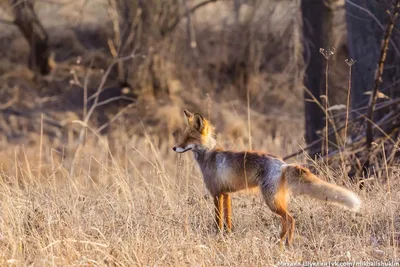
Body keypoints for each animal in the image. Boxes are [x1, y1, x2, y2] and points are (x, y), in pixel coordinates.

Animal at [173, 109, 362, 247]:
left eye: (188, 138)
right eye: (183, 136)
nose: (174, 148)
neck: (209, 156)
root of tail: (283, 164)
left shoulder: (216, 194)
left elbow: (218, 220)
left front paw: (217, 237)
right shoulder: (226, 194)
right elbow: (228, 221)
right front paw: (227, 237)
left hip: (271, 201)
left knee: (291, 219)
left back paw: (287, 244)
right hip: (277, 200)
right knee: (286, 221)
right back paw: (278, 242)